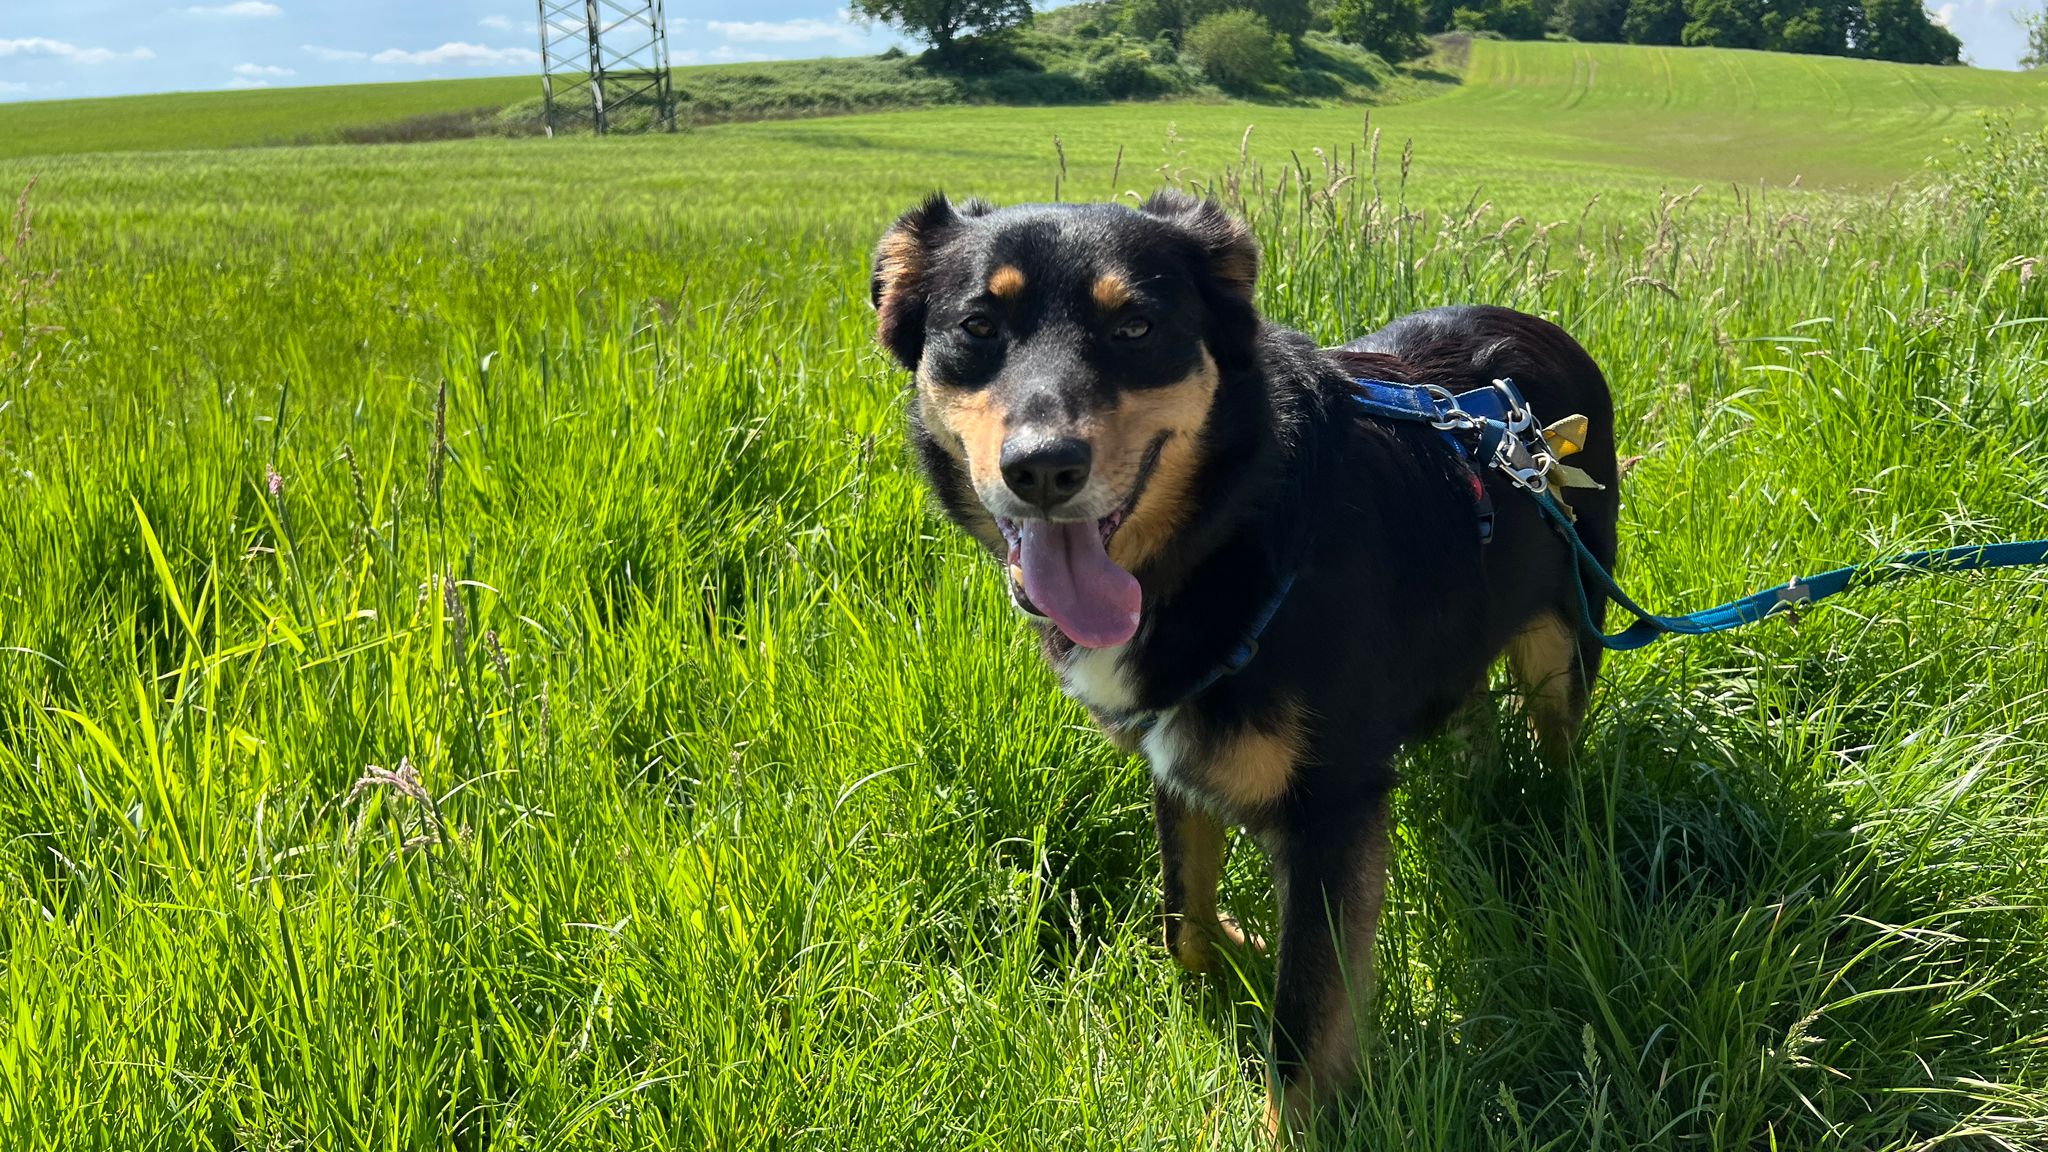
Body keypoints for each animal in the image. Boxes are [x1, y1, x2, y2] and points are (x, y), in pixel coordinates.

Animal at [871, 190, 1619, 1135]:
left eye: (1136, 327)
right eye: (977, 326)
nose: (1042, 469)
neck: (1231, 527)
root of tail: (1544, 332)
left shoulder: (1332, 807)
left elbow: (1302, 1021)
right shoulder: (1179, 752)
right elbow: (1180, 917)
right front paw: (1238, 950)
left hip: (1567, 637)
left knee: (1558, 739)